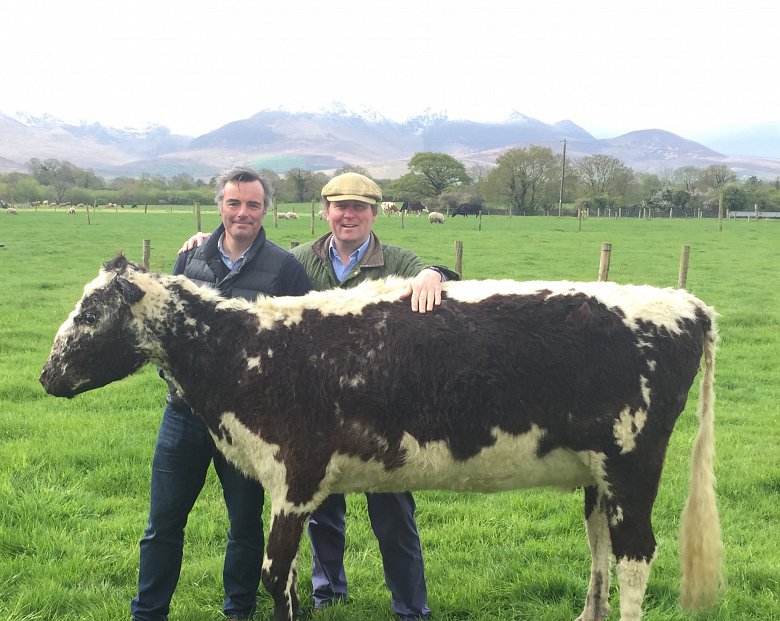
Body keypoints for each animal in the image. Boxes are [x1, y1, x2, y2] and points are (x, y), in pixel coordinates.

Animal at [39, 256, 724, 620]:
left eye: (91, 313)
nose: (46, 375)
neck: (247, 351)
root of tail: (686, 304)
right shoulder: (289, 488)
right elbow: (288, 579)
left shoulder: (295, 477)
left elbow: (273, 576)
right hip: (598, 474)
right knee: (601, 544)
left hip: (634, 463)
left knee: (636, 554)